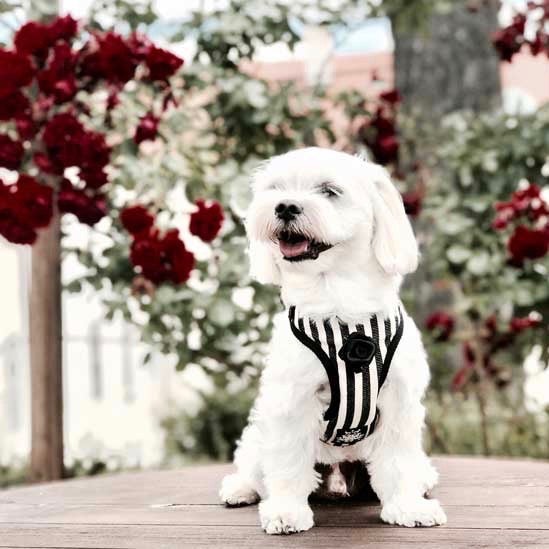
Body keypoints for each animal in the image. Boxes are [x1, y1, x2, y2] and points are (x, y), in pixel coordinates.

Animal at [218, 148, 446, 532]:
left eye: (329, 191)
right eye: (275, 188)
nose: (285, 206)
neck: (339, 305)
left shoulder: (398, 401)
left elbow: (398, 462)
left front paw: (407, 506)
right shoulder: (290, 401)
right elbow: (288, 461)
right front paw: (286, 511)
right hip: (259, 432)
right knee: (255, 465)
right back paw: (241, 488)